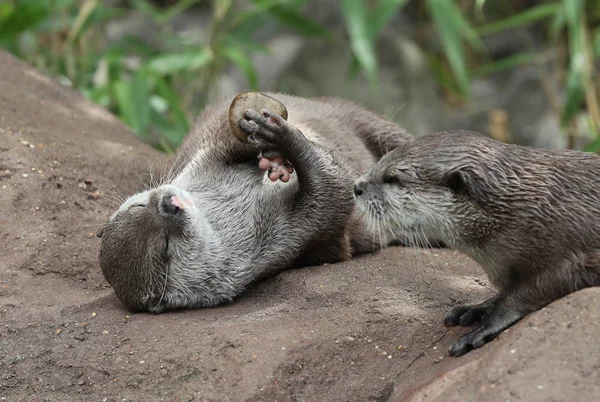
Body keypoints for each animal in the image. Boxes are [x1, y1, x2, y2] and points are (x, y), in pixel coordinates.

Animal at [99, 92, 418, 312]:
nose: (167, 202)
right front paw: (286, 140)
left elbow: (223, 130)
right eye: (164, 246)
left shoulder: (201, 154)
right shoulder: (286, 237)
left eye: (139, 206)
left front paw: (265, 140)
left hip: (360, 117)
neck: (234, 204)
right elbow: (332, 188)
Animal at [354, 130, 600, 356]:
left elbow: (531, 290)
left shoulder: (572, 248)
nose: (356, 186)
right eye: (381, 161)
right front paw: (476, 308)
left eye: (393, 178)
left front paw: (483, 327)